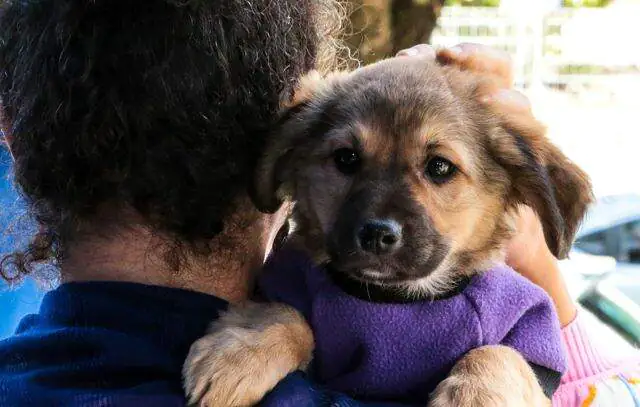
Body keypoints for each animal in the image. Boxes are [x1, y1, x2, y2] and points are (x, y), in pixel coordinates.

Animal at [182, 56, 592, 407]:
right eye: (346, 158)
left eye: (440, 167)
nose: (377, 235)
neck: (392, 300)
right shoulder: (286, 284)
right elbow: (285, 314)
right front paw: (240, 356)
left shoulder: (529, 333)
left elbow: (499, 353)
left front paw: (475, 395)